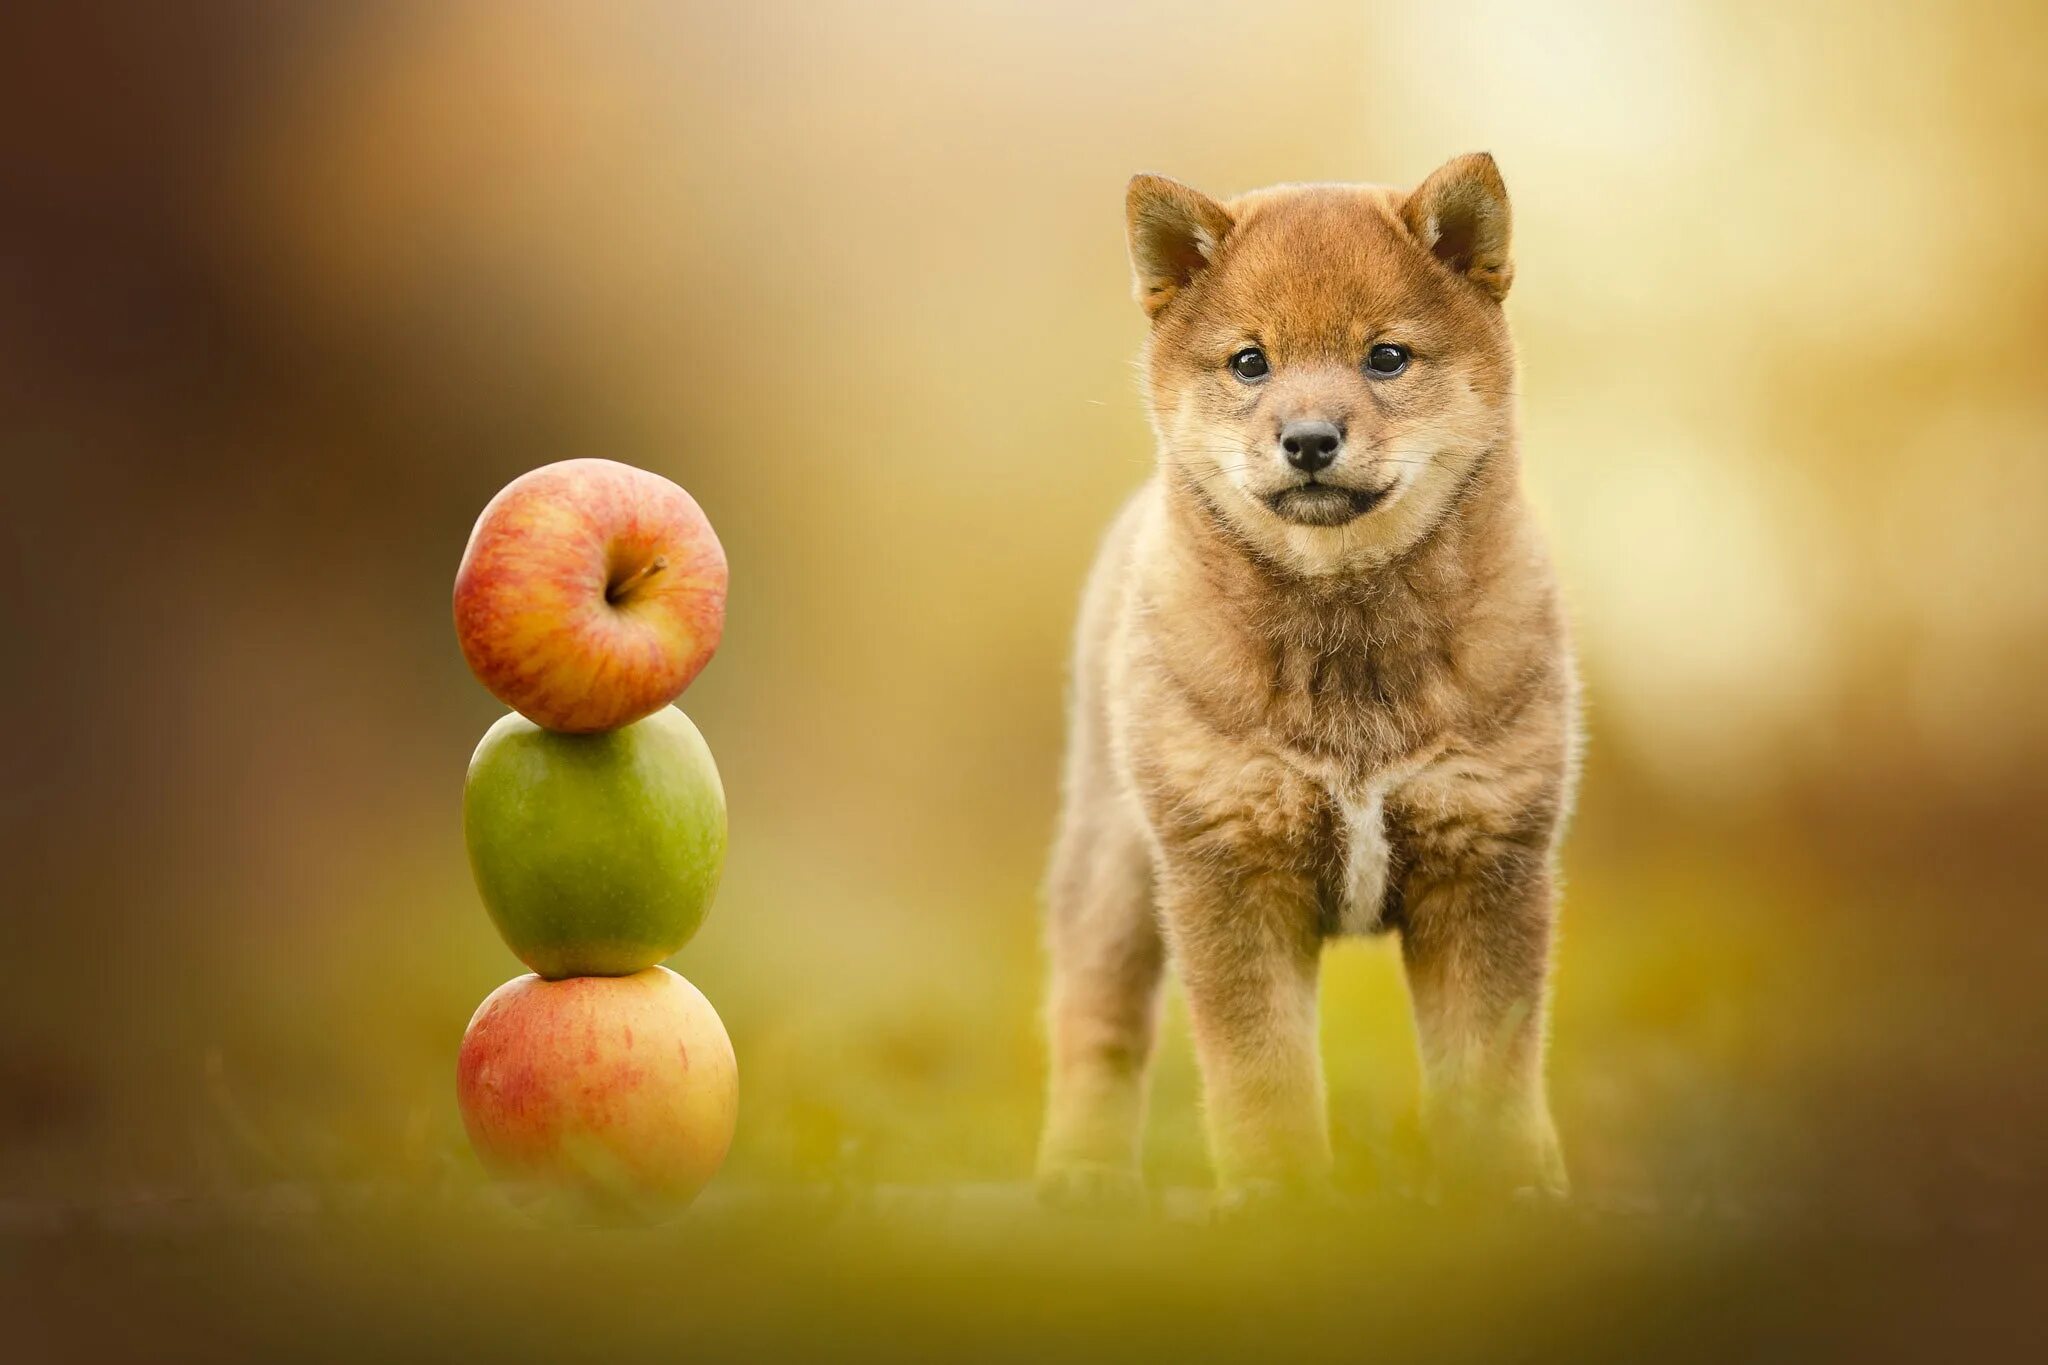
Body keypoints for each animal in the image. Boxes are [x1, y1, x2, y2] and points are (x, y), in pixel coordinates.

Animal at [1032, 154, 1572, 1211]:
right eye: (1251, 362)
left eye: (1387, 357)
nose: (1311, 438)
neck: (1348, 642)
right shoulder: (1229, 866)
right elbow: (1263, 1074)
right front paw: (1282, 1198)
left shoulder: (1488, 861)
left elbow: (1488, 1073)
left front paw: (1500, 1191)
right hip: (1115, 865)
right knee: (1095, 1025)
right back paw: (1081, 1173)